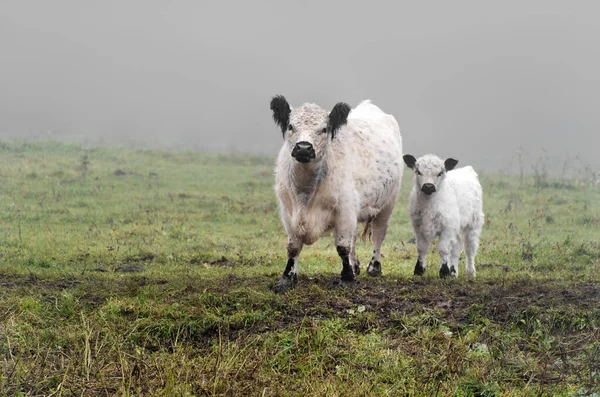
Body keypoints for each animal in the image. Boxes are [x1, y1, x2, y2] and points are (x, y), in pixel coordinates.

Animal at [270, 94, 404, 292]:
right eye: (291, 126)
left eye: (324, 129)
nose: (303, 148)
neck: (305, 194)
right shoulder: (288, 213)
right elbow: (293, 246)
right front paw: (287, 278)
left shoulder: (344, 210)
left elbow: (342, 246)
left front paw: (347, 278)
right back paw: (356, 266)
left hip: (387, 204)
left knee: (378, 234)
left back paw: (374, 268)